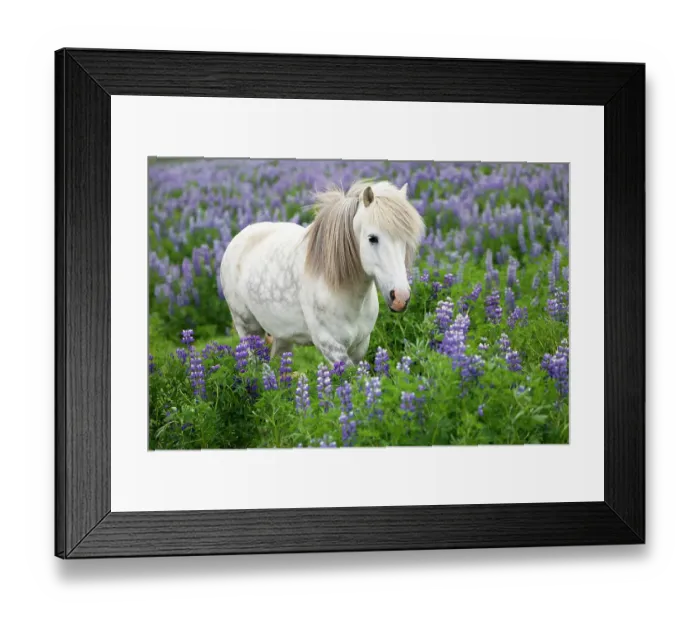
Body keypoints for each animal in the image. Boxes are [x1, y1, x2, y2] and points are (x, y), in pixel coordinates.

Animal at [219, 179, 426, 366]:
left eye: (405, 240)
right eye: (372, 238)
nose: (400, 297)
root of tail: (240, 236)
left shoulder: (360, 345)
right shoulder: (331, 347)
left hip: (282, 336)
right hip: (248, 330)